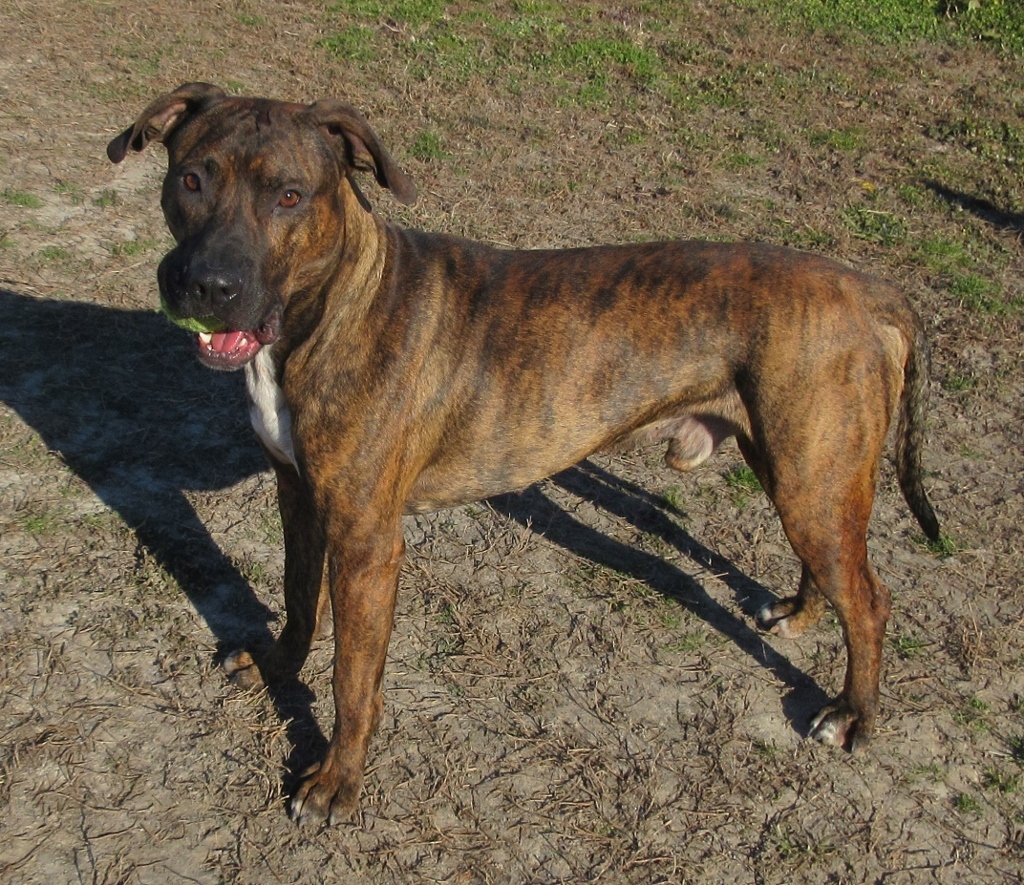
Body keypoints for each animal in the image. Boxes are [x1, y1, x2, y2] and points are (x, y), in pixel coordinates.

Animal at [110, 84, 937, 827]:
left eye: (289, 195)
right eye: (192, 179)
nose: (208, 284)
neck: (329, 307)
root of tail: (873, 291)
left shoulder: (366, 543)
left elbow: (353, 678)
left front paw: (336, 783)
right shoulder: (299, 496)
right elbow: (295, 598)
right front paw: (279, 666)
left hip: (810, 472)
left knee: (871, 598)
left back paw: (853, 714)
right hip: (803, 468)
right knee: (833, 563)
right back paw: (799, 612)